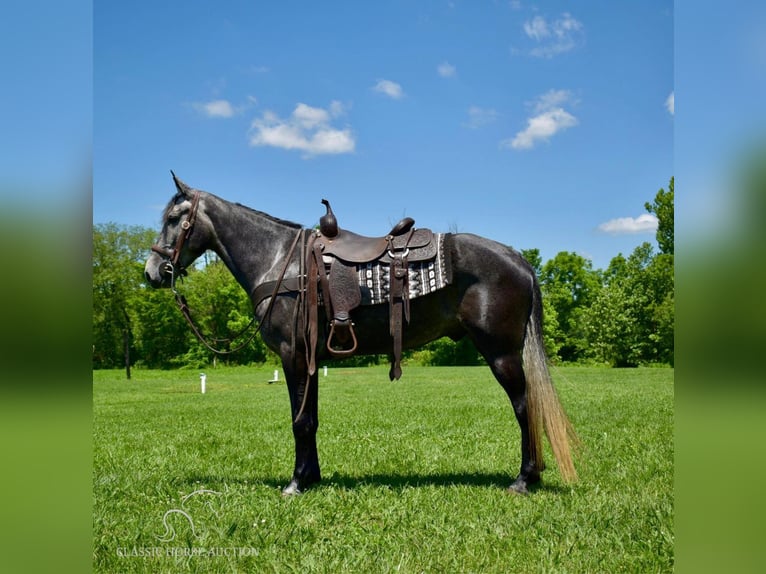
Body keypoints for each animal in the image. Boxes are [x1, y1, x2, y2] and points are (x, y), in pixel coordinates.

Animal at [144, 173, 580, 498]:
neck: (280, 261)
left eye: (174, 219)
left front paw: (296, 483)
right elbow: (311, 418)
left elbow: (298, 421)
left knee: (524, 407)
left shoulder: (292, 355)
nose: (151, 273)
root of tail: (517, 258)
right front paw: (312, 477)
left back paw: (524, 479)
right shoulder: (309, 359)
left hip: (502, 354)